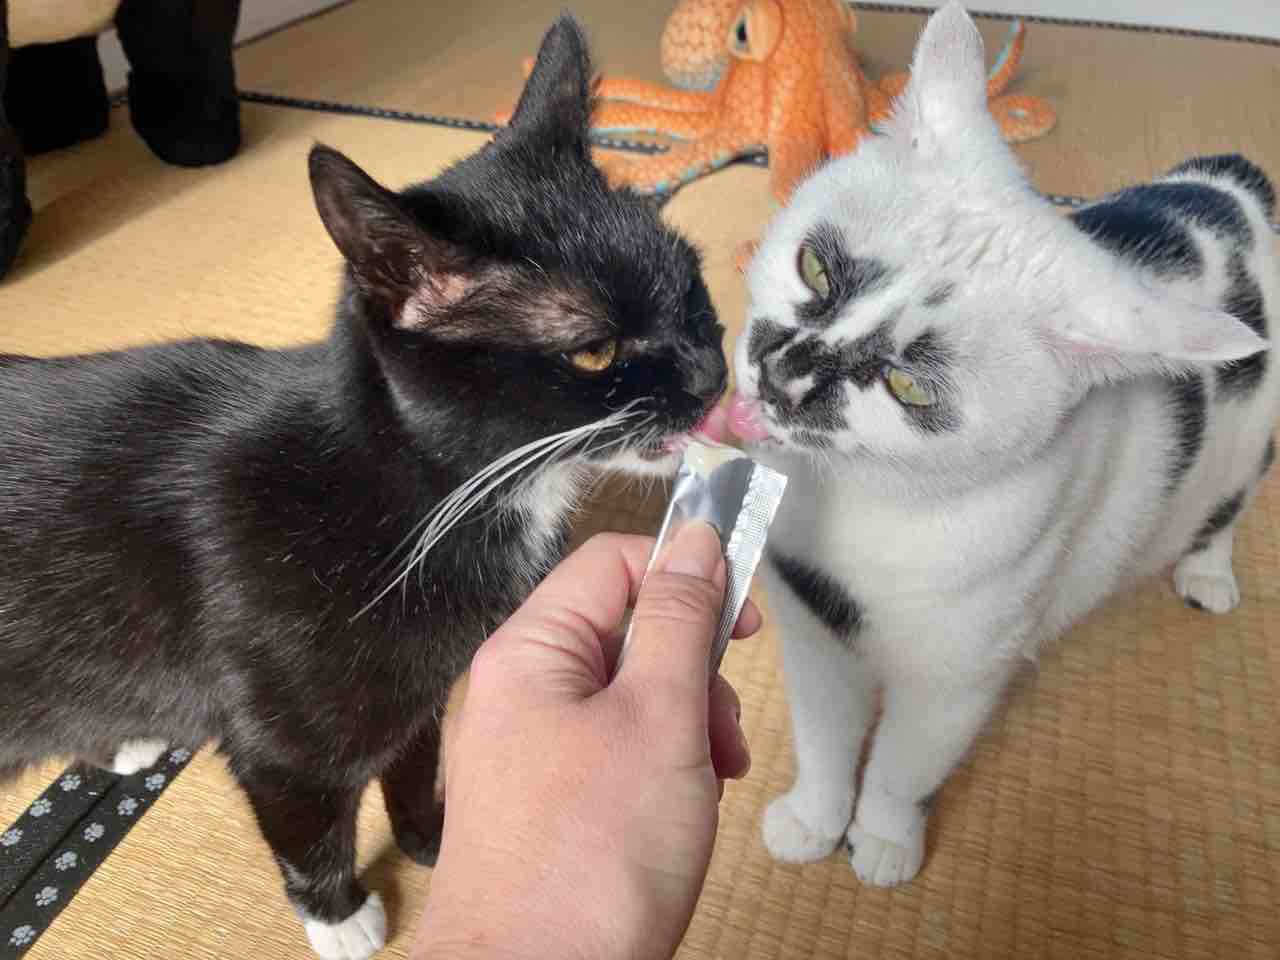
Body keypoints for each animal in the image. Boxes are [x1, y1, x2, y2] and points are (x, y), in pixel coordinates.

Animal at [0, 18, 726, 960]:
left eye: (693, 286)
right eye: (594, 351)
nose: (713, 374)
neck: (416, 492)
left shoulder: (419, 699)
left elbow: (413, 767)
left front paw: (436, 839)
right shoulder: (284, 743)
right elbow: (308, 823)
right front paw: (342, 918)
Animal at [727, 2, 1277, 888]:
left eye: (911, 388)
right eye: (814, 267)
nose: (782, 374)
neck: (860, 506)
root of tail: (1228, 186)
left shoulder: (958, 680)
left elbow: (902, 769)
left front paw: (882, 841)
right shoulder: (814, 637)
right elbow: (824, 742)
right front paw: (814, 820)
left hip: (1244, 447)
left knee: (1227, 507)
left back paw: (1207, 574)